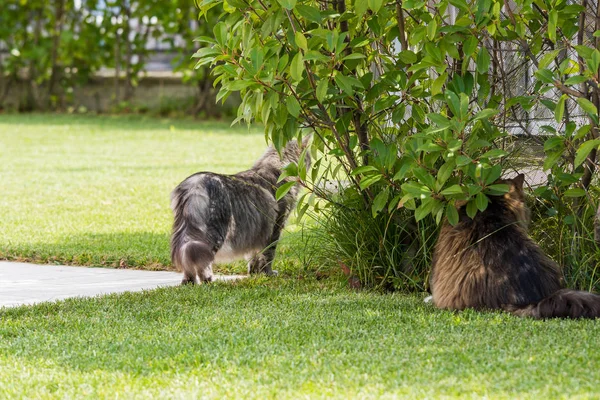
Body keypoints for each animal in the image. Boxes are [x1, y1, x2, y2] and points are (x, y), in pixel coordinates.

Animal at [170, 139, 308, 282]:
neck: (276, 170)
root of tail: (193, 184)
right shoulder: (275, 227)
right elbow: (268, 255)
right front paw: (268, 273)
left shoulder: (256, 231)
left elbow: (253, 256)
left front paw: (254, 273)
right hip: (215, 232)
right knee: (201, 257)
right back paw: (207, 279)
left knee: (186, 257)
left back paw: (189, 281)